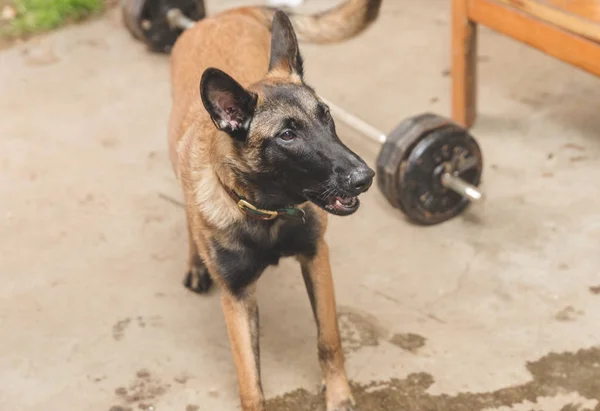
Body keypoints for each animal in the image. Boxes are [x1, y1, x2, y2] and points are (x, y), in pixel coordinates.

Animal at [168, 1, 384, 410]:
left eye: (326, 115)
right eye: (287, 135)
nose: (365, 177)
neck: (267, 211)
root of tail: (222, 15)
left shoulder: (316, 259)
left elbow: (329, 340)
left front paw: (339, 396)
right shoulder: (237, 299)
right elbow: (250, 383)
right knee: (186, 210)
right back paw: (194, 263)